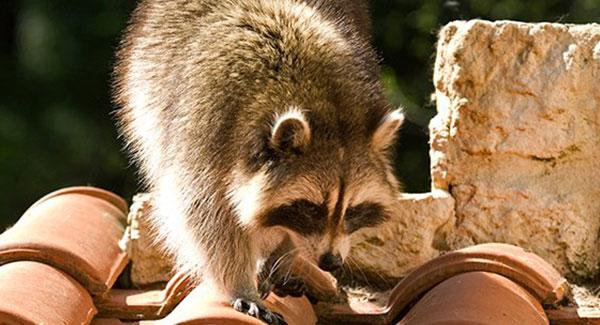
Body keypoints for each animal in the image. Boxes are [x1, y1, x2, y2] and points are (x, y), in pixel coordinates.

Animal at [112, 0, 404, 322]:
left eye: (352, 210)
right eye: (311, 208)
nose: (330, 262)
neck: (326, 107)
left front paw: (280, 253)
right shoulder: (206, 136)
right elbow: (207, 218)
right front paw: (240, 282)